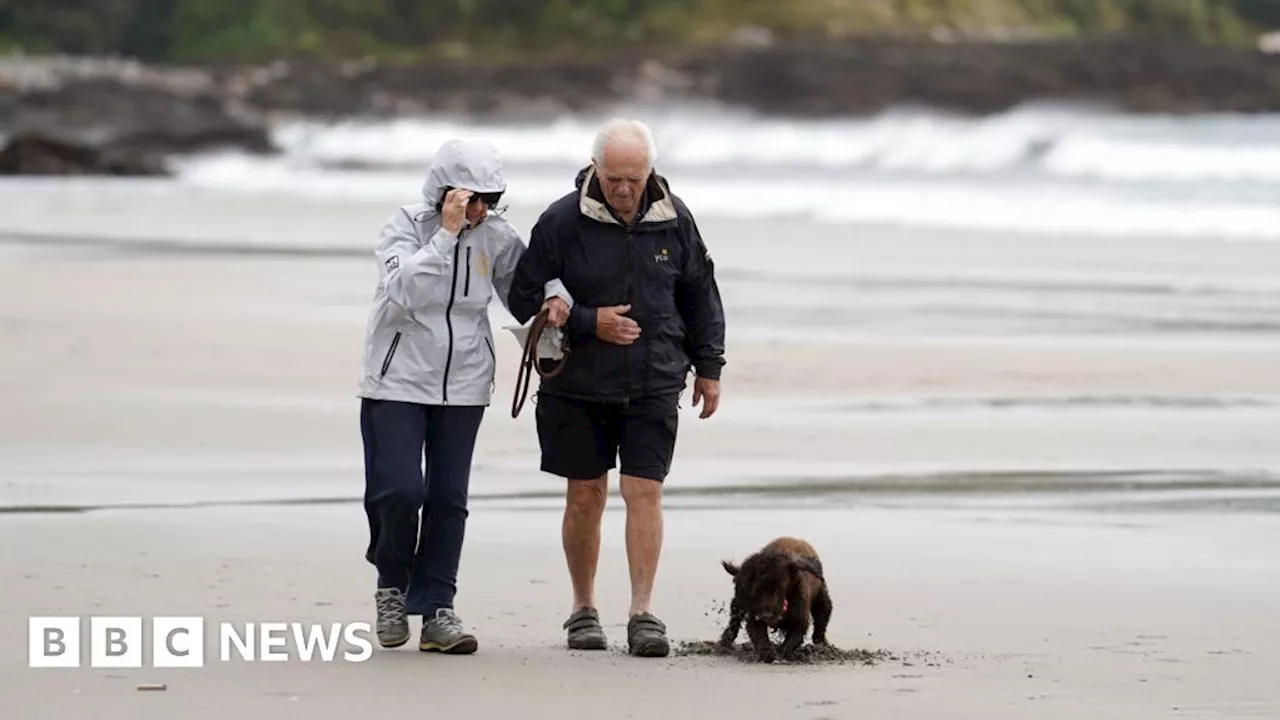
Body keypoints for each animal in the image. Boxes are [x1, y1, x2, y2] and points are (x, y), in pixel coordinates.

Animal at [716, 532, 834, 661]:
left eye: (779, 589)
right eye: (757, 590)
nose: (767, 615)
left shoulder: (800, 619)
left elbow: (793, 638)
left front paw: (781, 653)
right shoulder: (754, 616)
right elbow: (760, 636)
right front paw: (767, 653)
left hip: (822, 599)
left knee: (822, 617)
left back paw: (822, 644)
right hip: (739, 601)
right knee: (734, 621)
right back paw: (724, 642)